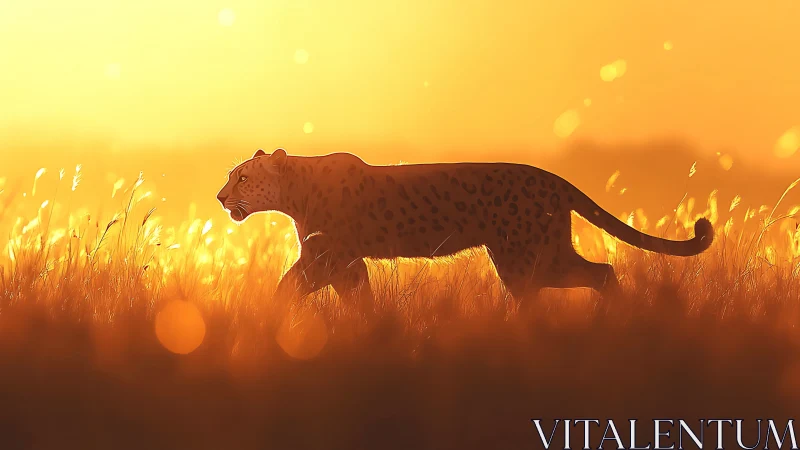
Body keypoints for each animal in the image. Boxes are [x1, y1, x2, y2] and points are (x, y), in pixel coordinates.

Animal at [216, 148, 714, 314]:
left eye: (242, 177)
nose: (221, 197)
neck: (294, 192)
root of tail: (556, 179)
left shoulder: (326, 258)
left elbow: (287, 286)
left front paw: (269, 317)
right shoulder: (345, 262)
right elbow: (360, 299)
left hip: (526, 257)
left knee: (589, 276)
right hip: (537, 254)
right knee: (599, 272)